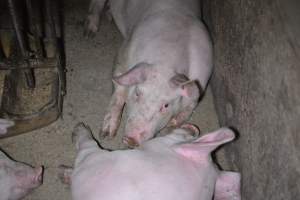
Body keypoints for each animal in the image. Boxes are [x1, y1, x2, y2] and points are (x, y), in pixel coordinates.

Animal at [84, 0, 213, 145]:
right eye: (137, 93)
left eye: (166, 105)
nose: (131, 139)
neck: (166, 63)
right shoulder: (124, 54)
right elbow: (119, 88)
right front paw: (106, 135)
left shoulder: (200, 85)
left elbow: (189, 109)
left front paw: (171, 126)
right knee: (96, 5)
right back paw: (89, 33)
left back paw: (109, 16)